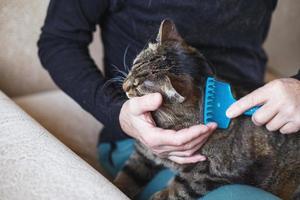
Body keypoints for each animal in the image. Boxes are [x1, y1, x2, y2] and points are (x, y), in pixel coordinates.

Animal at [113, 19, 300, 200]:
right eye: (133, 67)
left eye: (137, 86)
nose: (123, 86)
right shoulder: (143, 153)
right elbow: (124, 179)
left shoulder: (209, 176)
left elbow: (175, 192)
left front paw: (159, 196)